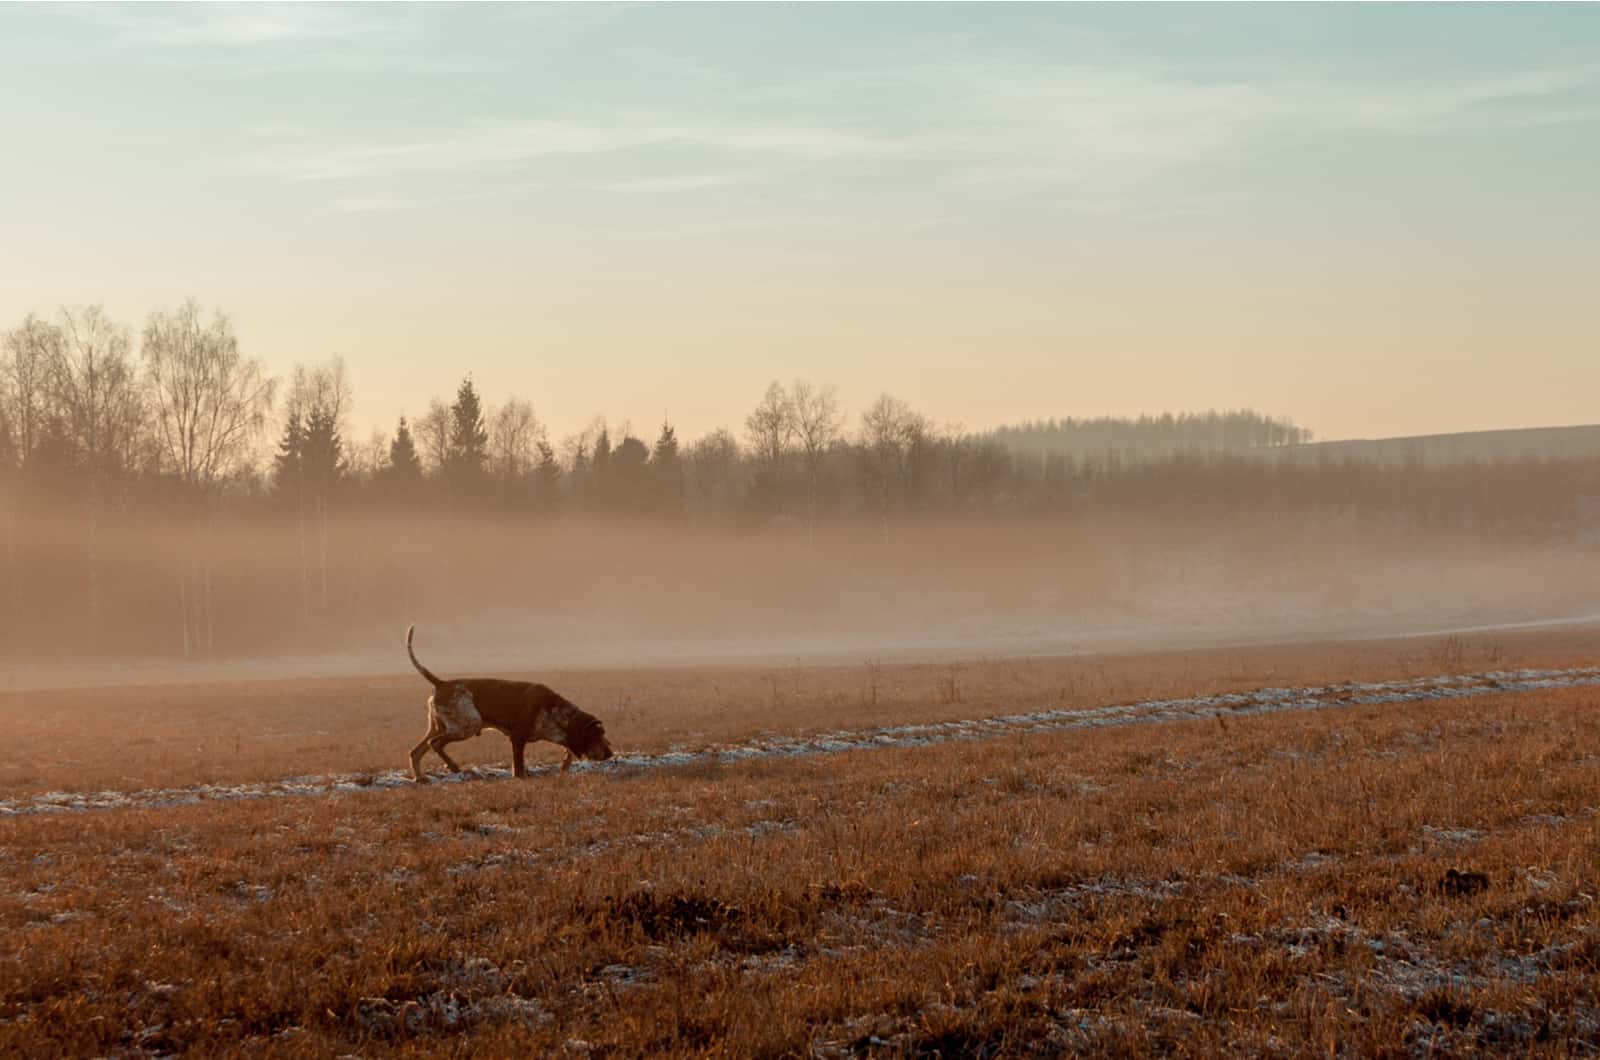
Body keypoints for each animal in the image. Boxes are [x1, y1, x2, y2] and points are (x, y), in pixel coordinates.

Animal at [406, 627, 611, 784]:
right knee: (435, 744)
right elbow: (518, 766)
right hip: (468, 725)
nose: (610, 753)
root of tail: (441, 683)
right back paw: (453, 766)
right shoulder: (517, 738)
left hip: (439, 726)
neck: (554, 711)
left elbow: (567, 752)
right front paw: (521, 778)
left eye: (603, 734)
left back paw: (421, 778)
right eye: (596, 734)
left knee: (415, 752)